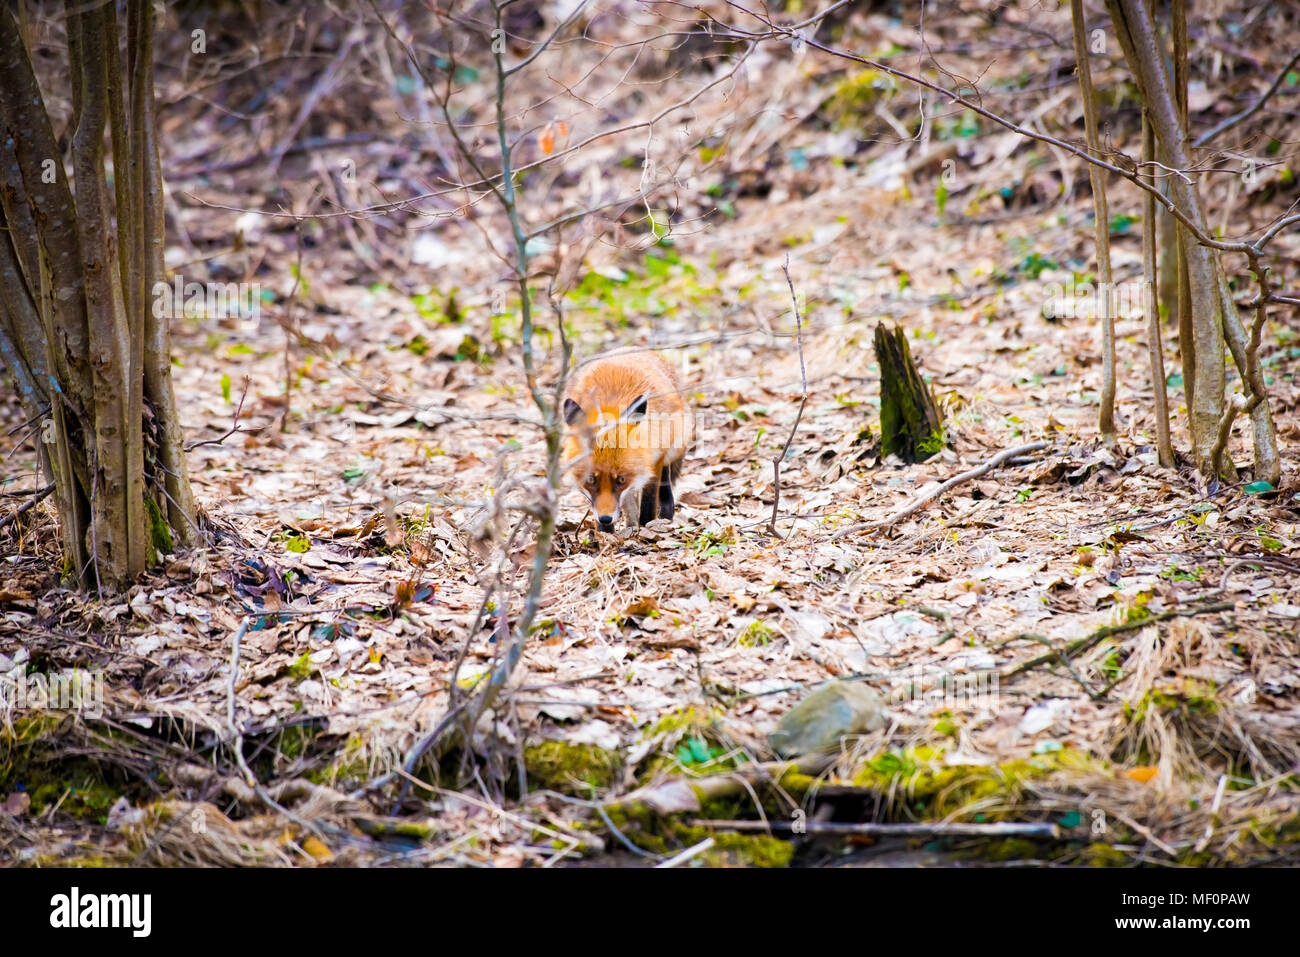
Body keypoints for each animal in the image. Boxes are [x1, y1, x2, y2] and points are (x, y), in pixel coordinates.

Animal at [564, 351, 696, 530]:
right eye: (590, 479)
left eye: (621, 479)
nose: (605, 518)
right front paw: (604, 533)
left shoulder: (654, 459)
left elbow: (648, 500)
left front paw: (646, 525)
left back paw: (665, 515)